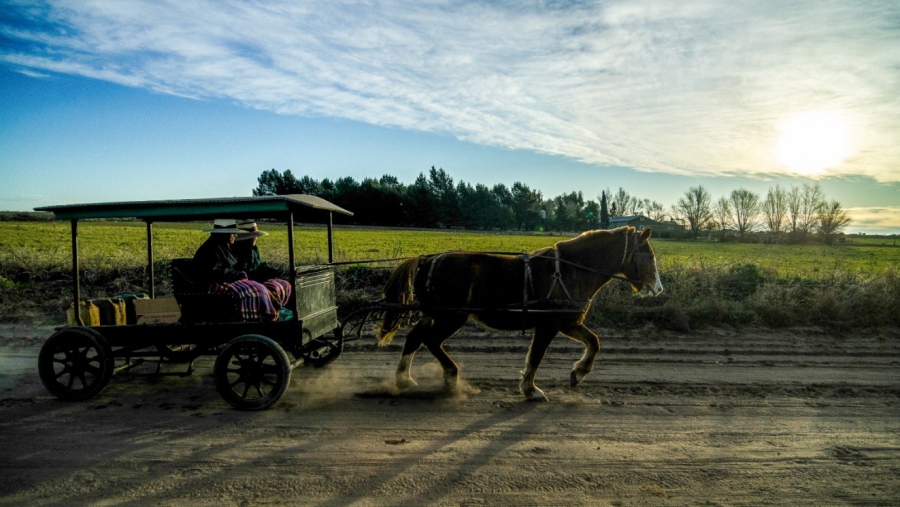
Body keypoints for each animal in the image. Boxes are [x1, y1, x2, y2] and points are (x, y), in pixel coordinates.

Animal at [376, 228, 664, 402]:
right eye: (649, 255)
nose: (658, 288)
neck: (569, 271)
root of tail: (427, 259)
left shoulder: (569, 323)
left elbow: (594, 342)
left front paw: (578, 372)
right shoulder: (548, 326)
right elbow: (536, 356)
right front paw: (531, 389)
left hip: (434, 315)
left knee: (414, 338)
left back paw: (405, 379)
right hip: (451, 317)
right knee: (431, 341)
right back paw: (450, 376)